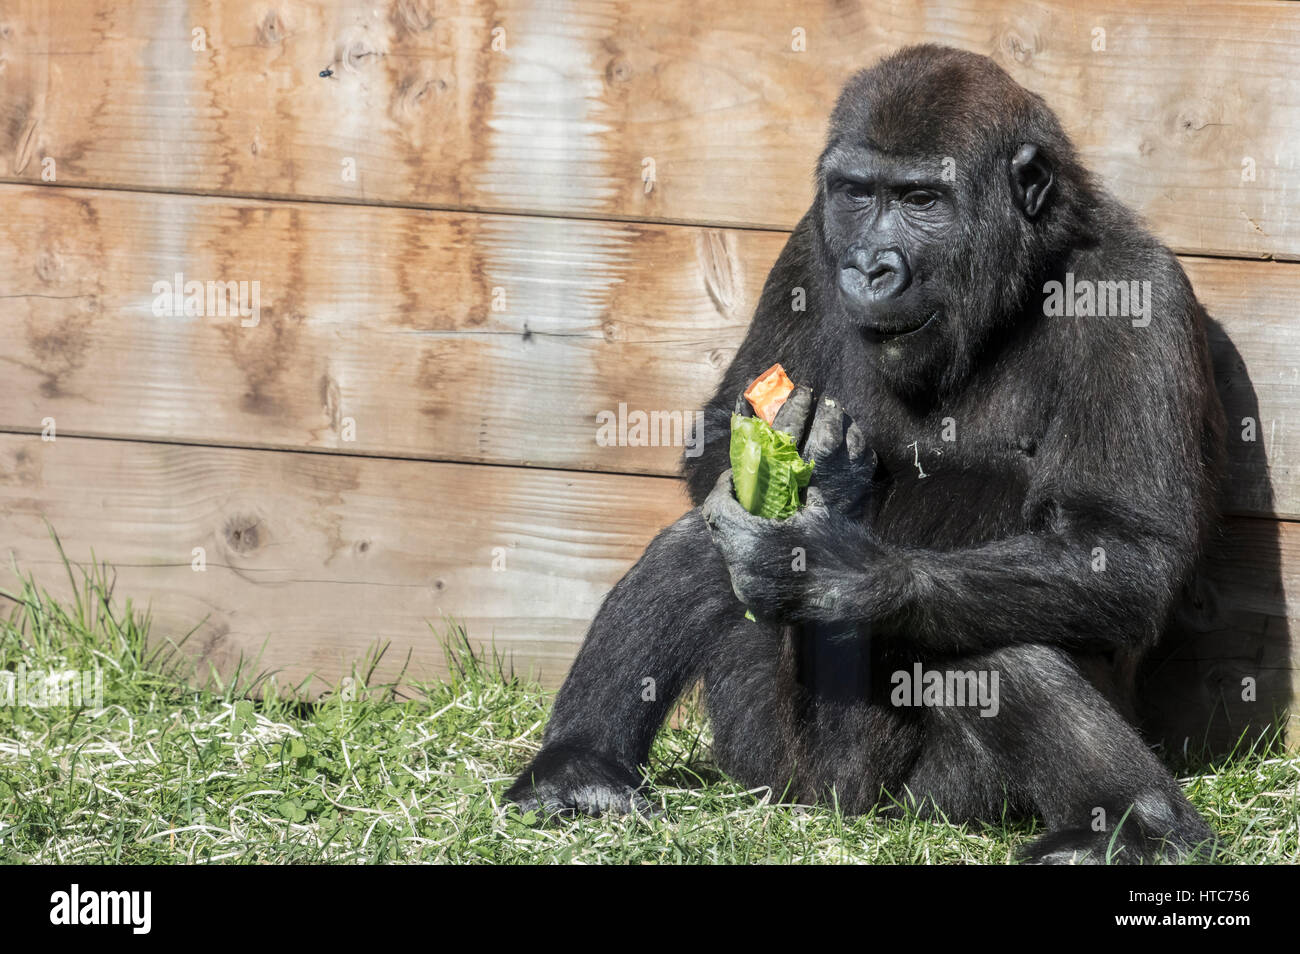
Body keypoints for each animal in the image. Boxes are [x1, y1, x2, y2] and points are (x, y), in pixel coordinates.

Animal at [501, 44, 1222, 868]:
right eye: (856, 194)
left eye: (921, 200)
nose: (872, 267)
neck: (1023, 280)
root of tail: (836, 807)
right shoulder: (807, 248)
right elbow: (719, 439)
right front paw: (825, 477)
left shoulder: (1138, 290)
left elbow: (1120, 547)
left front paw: (842, 572)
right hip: (771, 764)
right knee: (700, 548)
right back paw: (578, 771)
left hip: (928, 801)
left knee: (989, 623)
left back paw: (1135, 825)